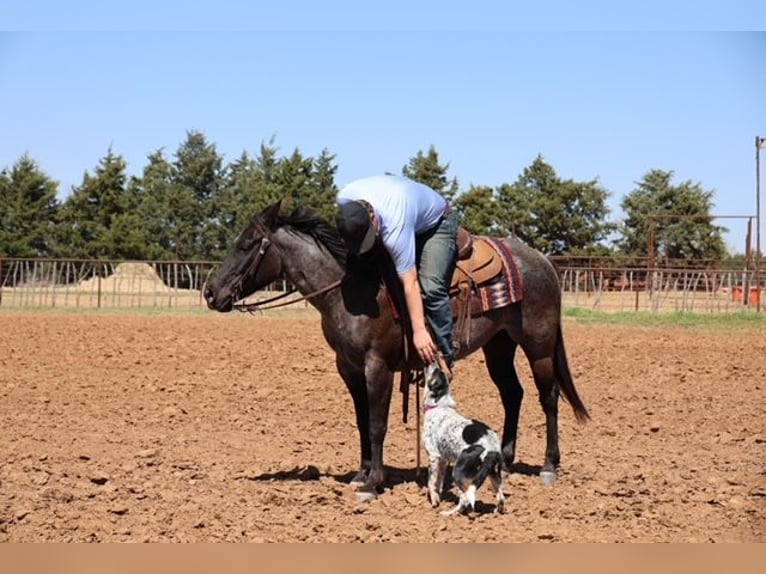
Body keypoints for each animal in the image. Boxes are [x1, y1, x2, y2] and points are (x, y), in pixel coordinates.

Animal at [204, 200, 589, 499]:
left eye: (247, 244)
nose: (210, 292)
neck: (351, 290)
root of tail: (543, 261)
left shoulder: (378, 367)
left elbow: (377, 424)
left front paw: (372, 483)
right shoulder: (348, 367)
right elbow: (362, 421)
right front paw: (361, 473)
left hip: (538, 346)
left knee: (548, 396)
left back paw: (549, 466)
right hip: (499, 345)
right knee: (513, 394)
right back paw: (506, 459)